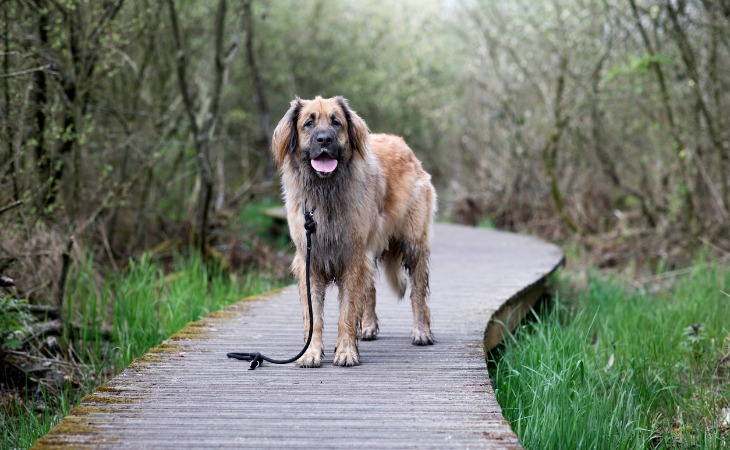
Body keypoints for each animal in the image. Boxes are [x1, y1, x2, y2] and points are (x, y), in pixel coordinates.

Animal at [272, 95, 432, 366]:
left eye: (336, 122)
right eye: (308, 123)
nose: (324, 139)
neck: (325, 192)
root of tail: (402, 144)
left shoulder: (352, 257)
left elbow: (346, 311)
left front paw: (346, 351)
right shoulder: (310, 260)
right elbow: (313, 315)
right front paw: (311, 352)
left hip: (413, 244)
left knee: (418, 292)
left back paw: (421, 332)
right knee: (370, 289)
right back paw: (368, 327)